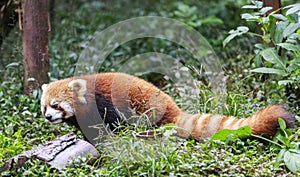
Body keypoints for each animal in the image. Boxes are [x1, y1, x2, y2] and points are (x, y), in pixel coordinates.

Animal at [41, 72, 296, 143]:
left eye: (56, 105)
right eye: (44, 107)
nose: (48, 117)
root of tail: (174, 109)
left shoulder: (104, 103)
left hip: (146, 108)